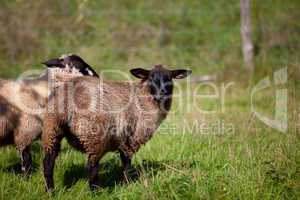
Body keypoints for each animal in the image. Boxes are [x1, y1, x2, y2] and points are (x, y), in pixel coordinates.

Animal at [41, 65, 191, 191]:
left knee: (48, 163)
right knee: (91, 166)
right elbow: (127, 164)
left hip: (52, 129)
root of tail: (69, 98)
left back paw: (51, 191)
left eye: (169, 78)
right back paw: (96, 191)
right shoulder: (130, 139)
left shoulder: (123, 140)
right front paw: (127, 184)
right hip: (94, 136)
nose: (162, 92)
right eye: (151, 78)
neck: (143, 99)